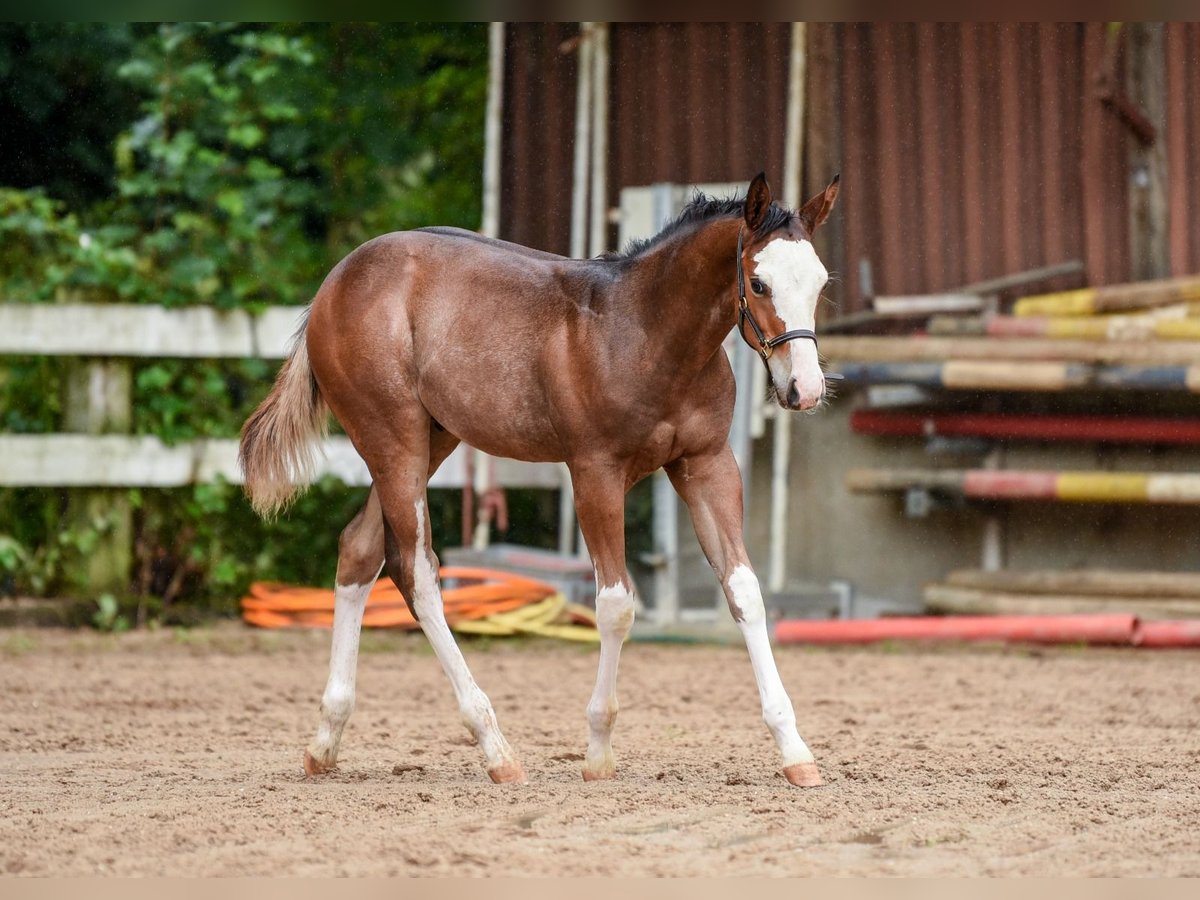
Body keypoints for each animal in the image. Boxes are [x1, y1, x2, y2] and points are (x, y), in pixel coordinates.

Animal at [239, 172, 840, 787]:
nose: (805, 390)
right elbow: (616, 605)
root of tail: (335, 282)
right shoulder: (595, 472)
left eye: (819, 282)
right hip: (393, 440)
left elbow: (745, 591)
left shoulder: (708, 464)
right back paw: (495, 748)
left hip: (433, 439)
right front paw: (598, 751)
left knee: (359, 548)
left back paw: (326, 740)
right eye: (759, 282)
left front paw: (795, 751)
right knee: (418, 570)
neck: (647, 333)